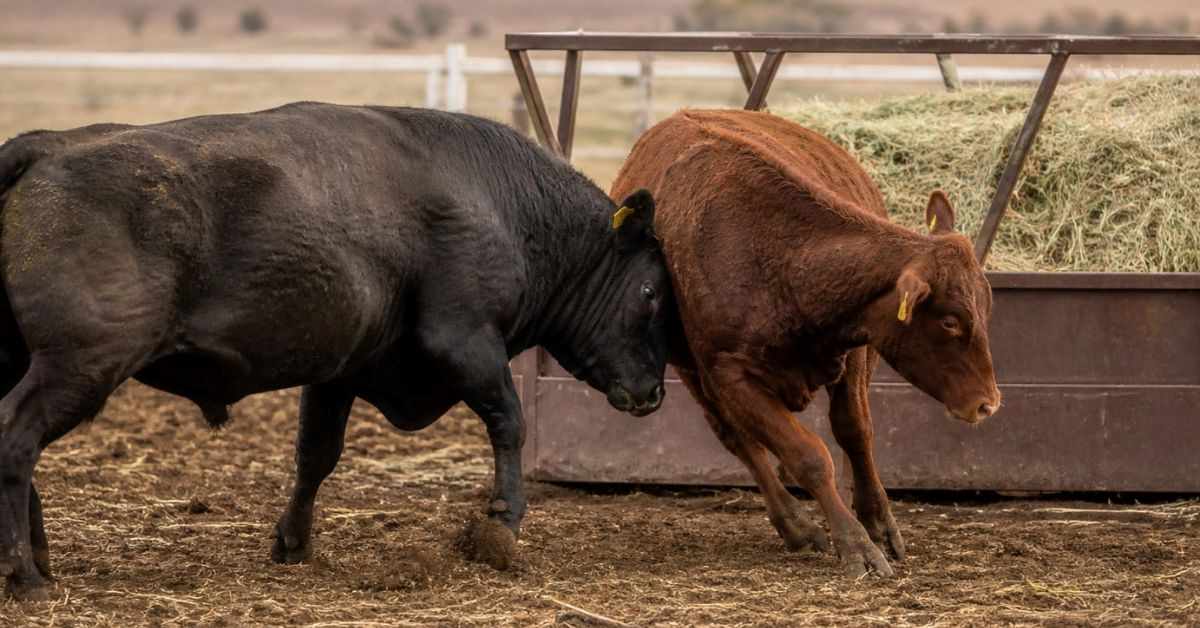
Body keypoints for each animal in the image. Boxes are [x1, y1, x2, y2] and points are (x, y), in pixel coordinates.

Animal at [0, 102, 673, 599]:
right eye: (650, 290)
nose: (653, 393)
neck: (500, 201)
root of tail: (45, 146)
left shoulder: (338, 371)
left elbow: (316, 457)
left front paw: (293, 543)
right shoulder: (467, 341)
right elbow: (509, 422)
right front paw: (503, 523)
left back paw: (39, 559)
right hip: (82, 365)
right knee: (17, 436)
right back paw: (25, 575)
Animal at [611, 109, 1001, 577]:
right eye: (950, 321)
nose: (988, 403)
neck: (780, 259)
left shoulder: (855, 347)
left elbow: (855, 431)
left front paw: (878, 523)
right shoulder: (729, 374)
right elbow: (807, 455)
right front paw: (855, 543)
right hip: (690, 371)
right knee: (737, 438)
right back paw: (795, 525)